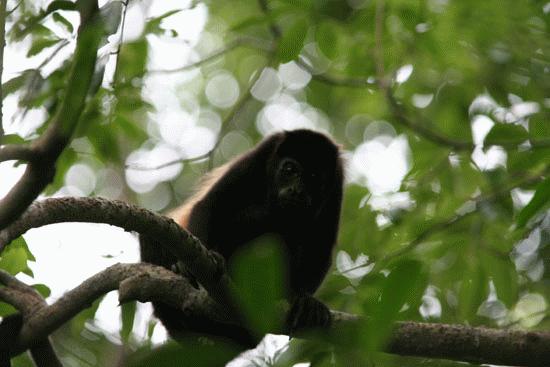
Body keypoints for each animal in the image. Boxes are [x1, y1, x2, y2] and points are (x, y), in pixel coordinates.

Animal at [139, 129, 344, 344]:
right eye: (289, 169)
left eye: (313, 176)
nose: (296, 191)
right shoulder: (259, 155)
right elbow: (210, 205)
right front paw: (189, 268)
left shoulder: (337, 183)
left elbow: (320, 246)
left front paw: (305, 300)